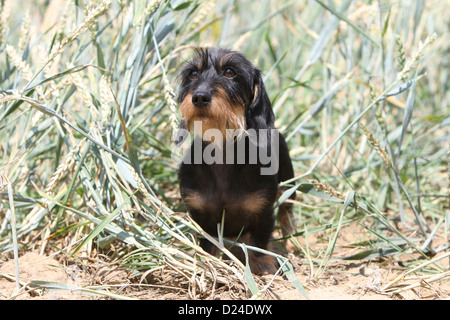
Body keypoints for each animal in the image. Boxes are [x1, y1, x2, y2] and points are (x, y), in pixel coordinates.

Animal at [176, 48, 296, 276]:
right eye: (193, 74)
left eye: (230, 72)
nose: (199, 97)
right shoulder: (200, 214)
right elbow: (208, 245)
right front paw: (209, 263)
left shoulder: (263, 211)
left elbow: (259, 243)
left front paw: (263, 266)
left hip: (289, 184)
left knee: (287, 214)